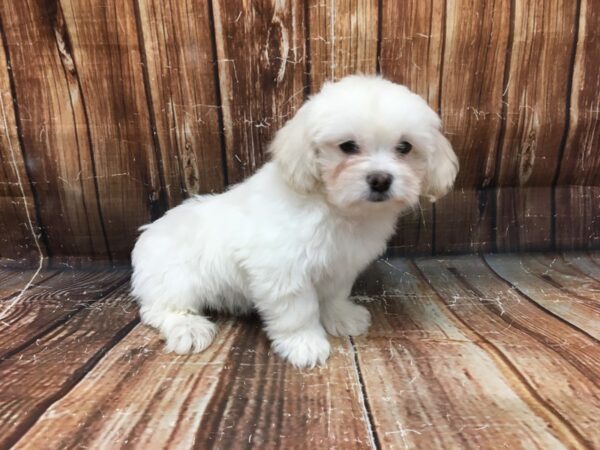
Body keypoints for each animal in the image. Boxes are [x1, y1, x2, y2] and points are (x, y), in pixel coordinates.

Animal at [132, 75, 460, 368]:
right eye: (348, 146)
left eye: (405, 148)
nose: (380, 180)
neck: (334, 207)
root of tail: (148, 233)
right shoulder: (283, 270)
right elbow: (297, 311)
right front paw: (305, 344)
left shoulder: (340, 265)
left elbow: (333, 295)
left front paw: (341, 317)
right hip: (175, 279)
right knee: (161, 308)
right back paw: (189, 328)